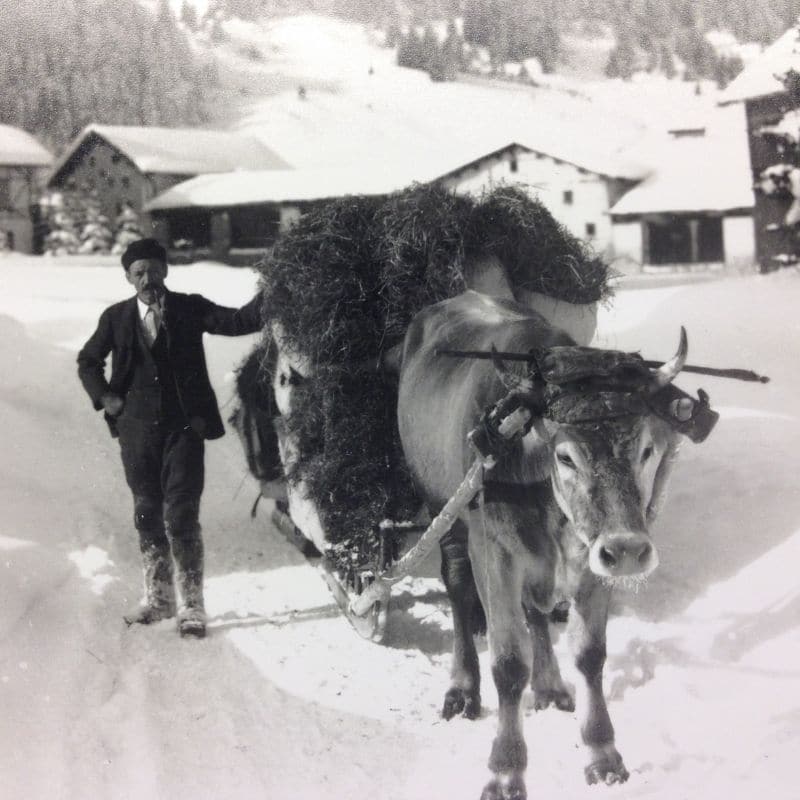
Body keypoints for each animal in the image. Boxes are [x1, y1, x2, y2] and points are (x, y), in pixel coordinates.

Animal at [396, 290, 708, 796]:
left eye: (646, 449)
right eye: (566, 456)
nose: (629, 550)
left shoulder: (591, 558)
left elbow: (589, 653)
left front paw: (602, 753)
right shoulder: (495, 553)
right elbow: (507, 663)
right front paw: (505, 770)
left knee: (536, 609)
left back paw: (549, 686)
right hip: (443, 511)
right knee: (458, 589)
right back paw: (462, 689)